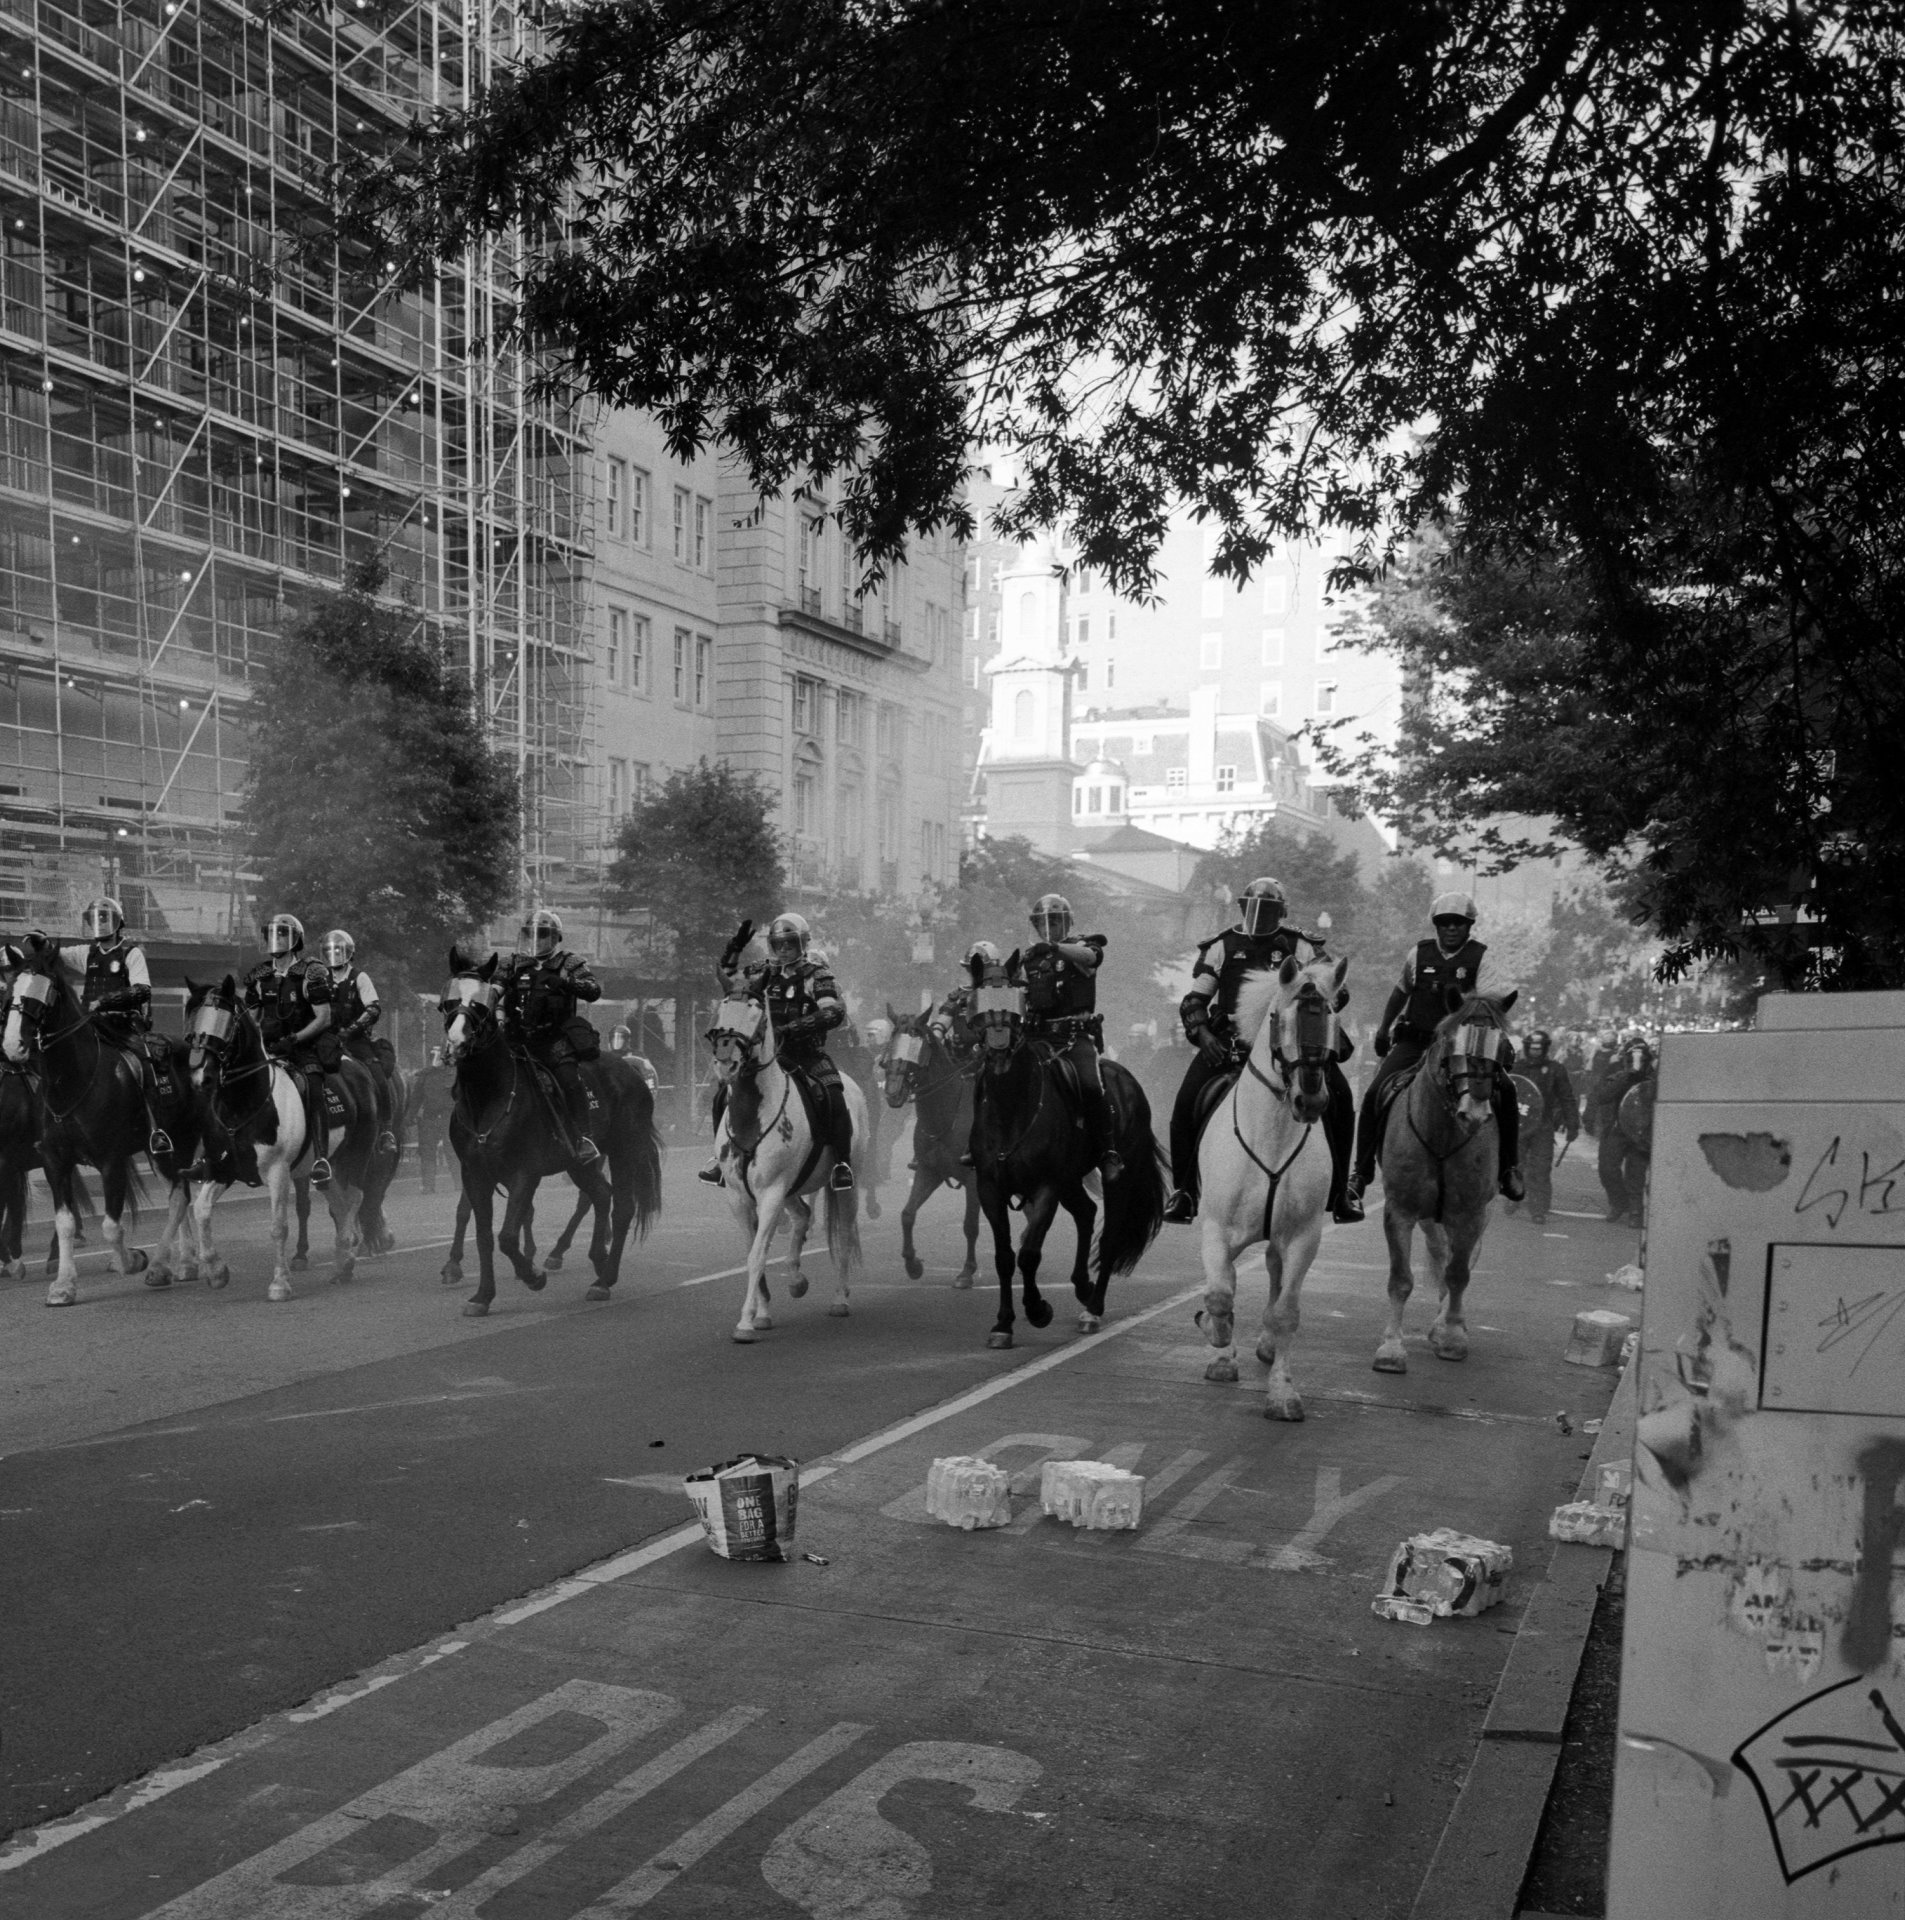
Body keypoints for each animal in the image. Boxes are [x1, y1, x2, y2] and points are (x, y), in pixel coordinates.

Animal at [439, 960, 660, 1320]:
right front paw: (482, 1295)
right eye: (449, 1000)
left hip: (624, 1149)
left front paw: (532, 1275)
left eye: (483, 1003)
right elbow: (483, 1233)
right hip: (579, 1163)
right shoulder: (474, 1173)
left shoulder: (524, 1173)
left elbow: (508, 1235)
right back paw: (594, 1259)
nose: (457, 1042)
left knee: (622, 1207)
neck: (489, 1097)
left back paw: (604, 1279)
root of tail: (633, 1075)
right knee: (601, 1195)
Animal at [706, 998, 871, 1344]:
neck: (752, 1116)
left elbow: (757, 1254)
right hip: (791, 1188)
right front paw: (762, 1313)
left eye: (757, 1017)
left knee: (844, 1235)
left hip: (845, 1184)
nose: (726, 1063)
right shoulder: (740, 1197)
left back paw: (840, 1298)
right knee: (803, 1215)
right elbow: (753, 1251)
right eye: (720, 1012)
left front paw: (745, 1323)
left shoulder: (770, 1193)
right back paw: (796, 1279)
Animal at [967, 956, 1159, 1351]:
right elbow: (1005, 1256)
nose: (998, 1049)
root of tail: (1127, 1081)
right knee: (1086, 1213)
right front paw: (1004, 1323)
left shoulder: (1045, 1187)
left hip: (1115, 1177)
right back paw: (1083, 1286)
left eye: (1014, 999)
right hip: (1071, 1179)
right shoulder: (990, 1188)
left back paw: (1093, 1309)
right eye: (978, 1001)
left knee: (1110, 1234)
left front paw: (1038, 1309)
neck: (1012, 1107)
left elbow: (1029, 1253)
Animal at [1198, 952, 1344, 1420]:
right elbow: (1220, 1295)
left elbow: (1285, 1313)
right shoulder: (1216, 1229)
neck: (1272, 1137)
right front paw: (1219, 1342)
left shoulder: (1302, 1236)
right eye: (1279, 1017)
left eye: (1332, 1015)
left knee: (1275, 1277)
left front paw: (1282, 1394)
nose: (1310, 1100)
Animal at [1367, 998, 1520, 1374]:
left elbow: (1459, 1273)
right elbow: (1401, 1278)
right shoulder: (1401, 1209)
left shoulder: (1470, 1213)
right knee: (1439, 1250)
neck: (1443, 1134)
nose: (1475, 1113)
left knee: (1461, 1258)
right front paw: (1391, 1349)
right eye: (1450, 1043)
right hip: (1430, 1216)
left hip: (1480, 1211)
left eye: (1505, 1049)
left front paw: (1451, 1336)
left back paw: (1446, 1325)